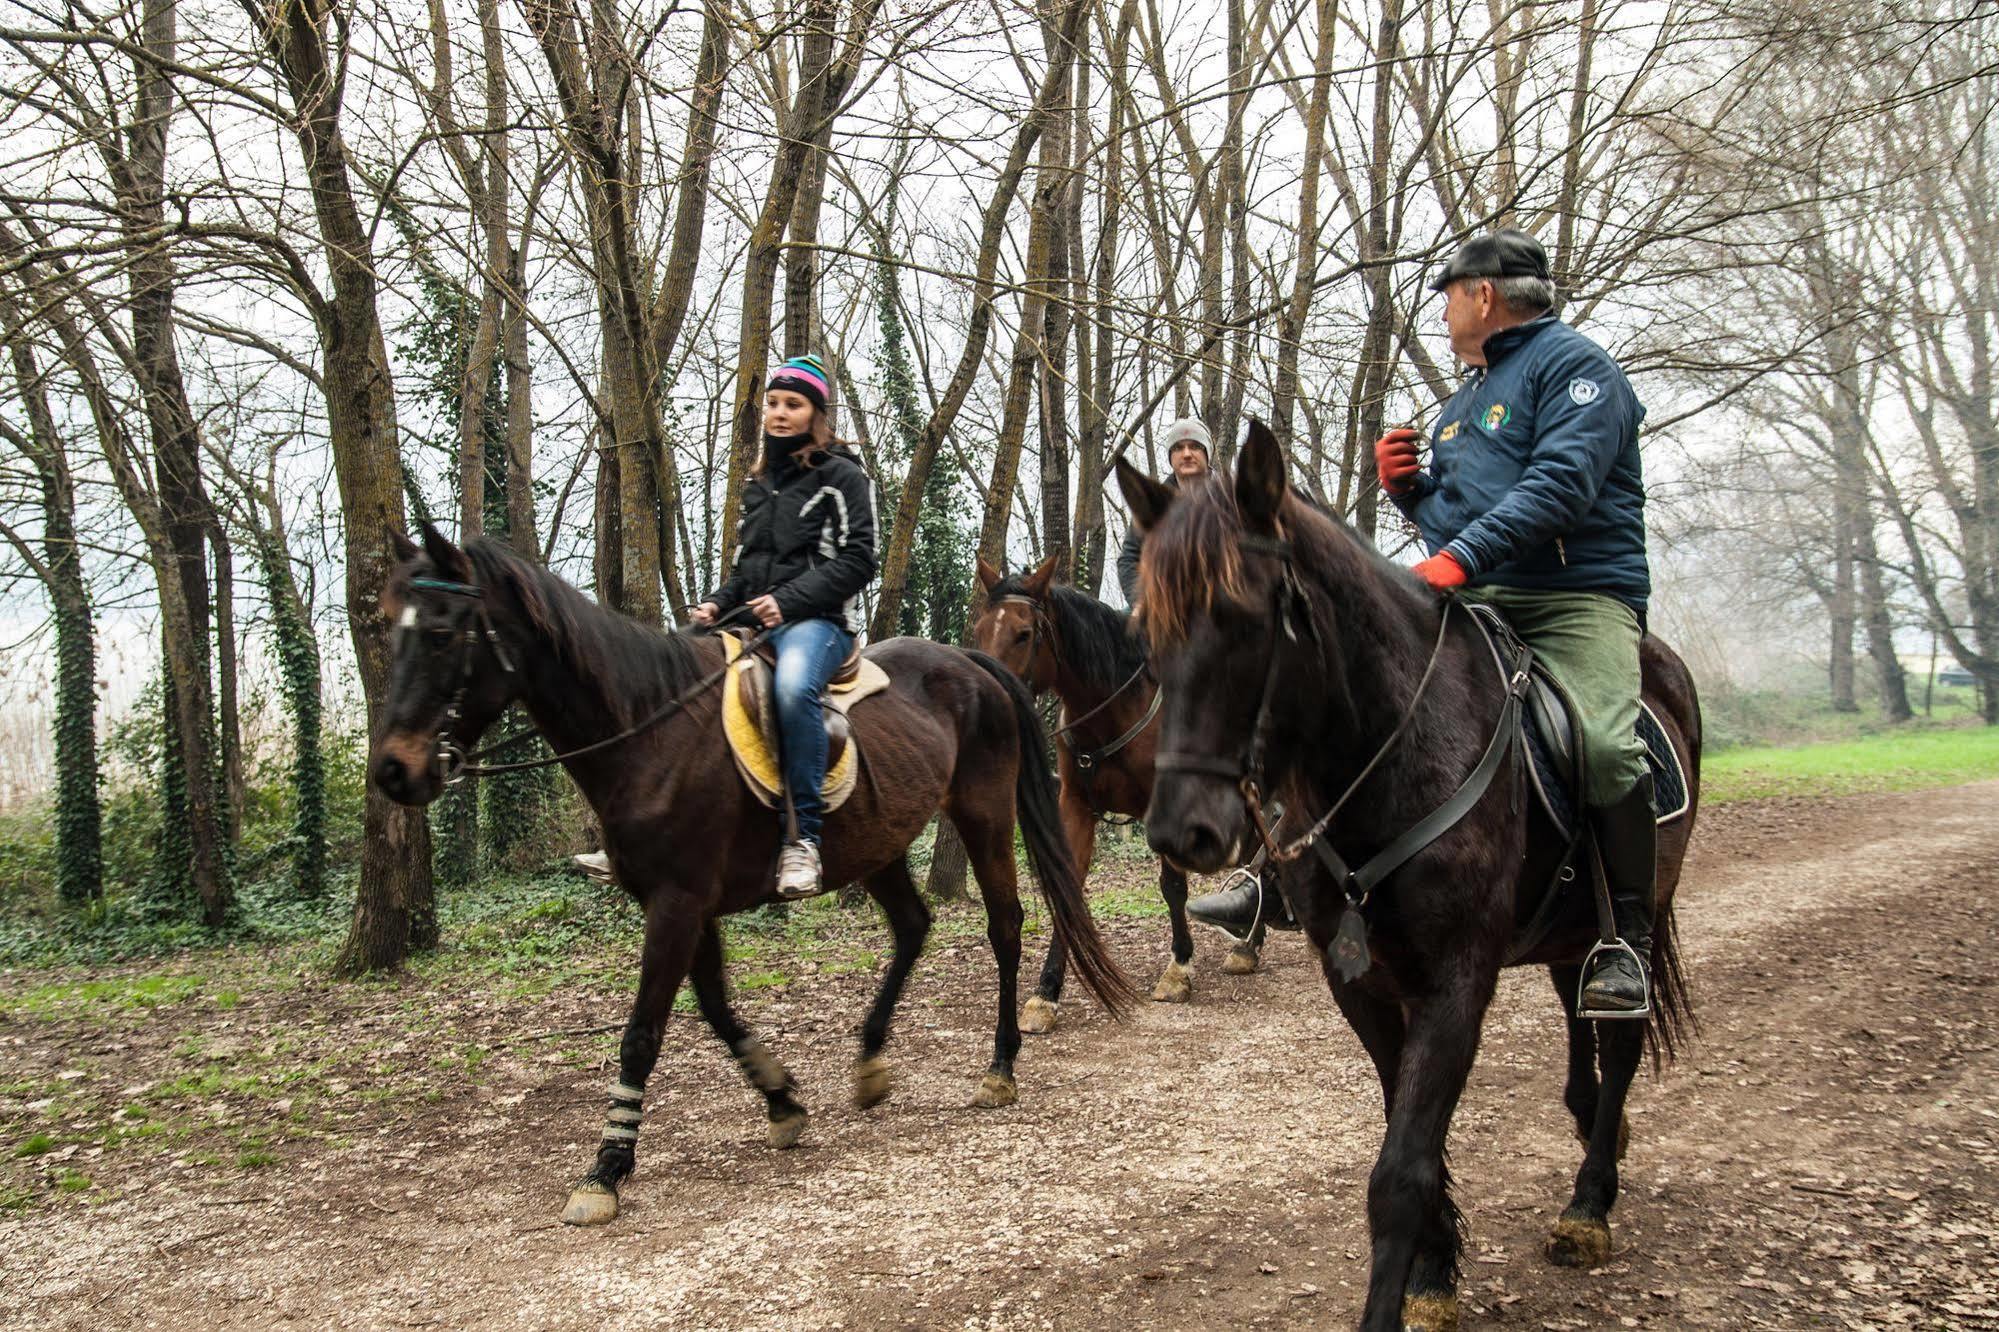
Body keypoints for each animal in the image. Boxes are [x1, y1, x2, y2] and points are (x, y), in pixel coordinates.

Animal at [367, 528, 1135, 1224]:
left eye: (442, 633)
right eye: (384, 626)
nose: (393, 772)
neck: (649, 730)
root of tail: (974, 661)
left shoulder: (676, 903)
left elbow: (643, 1031)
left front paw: (606, 1168)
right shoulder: (684, 903)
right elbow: (714, 1007)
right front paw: (781, 1098)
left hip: (981, 815)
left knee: (1004, 925)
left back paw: (1000, 1067)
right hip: (879, 842)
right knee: (914, 927)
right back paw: (869, 1061)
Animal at [967, 548, 1263, 1024]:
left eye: (1024, 634)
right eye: (979, 630)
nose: (989, 697)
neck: (1115, 709)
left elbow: (1173, 887)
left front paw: (1179, 968)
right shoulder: (1075, 806)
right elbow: (1068, 892)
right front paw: (1046, 991)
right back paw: (1250, 944)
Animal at [1119, 422, 1695, 1328]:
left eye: (1245, 620)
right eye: (1147, 637)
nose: (1183, 832)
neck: (1396, 749)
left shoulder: (1454, 983)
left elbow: (1399, 1171)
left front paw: (1407, 1288)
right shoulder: (1359, 982)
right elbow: (1406, 1131)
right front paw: (1435, 1269)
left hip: (1636, 915)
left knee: (1623, 1037)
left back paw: (1589, 1203)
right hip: (1572, 930)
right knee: (1582, 1020)